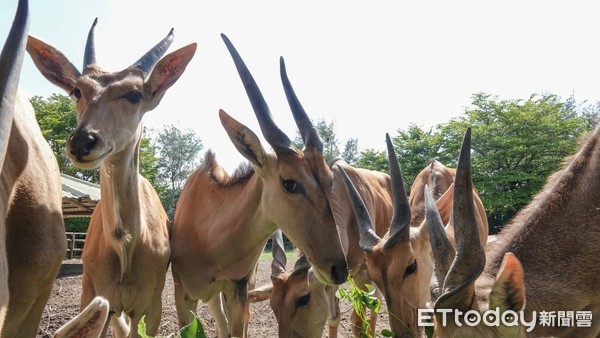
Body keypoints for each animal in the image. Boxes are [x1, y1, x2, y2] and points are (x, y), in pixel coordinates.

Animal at [27, 19, 196, 336]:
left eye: (134, 94)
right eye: (77, 91)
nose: (83, 141)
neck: (125, 248)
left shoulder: (152, 306)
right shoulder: (95, 298)